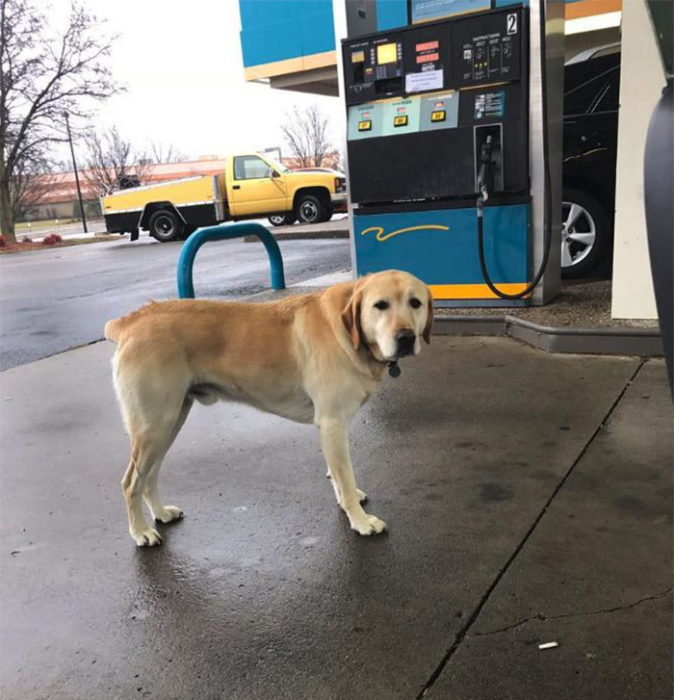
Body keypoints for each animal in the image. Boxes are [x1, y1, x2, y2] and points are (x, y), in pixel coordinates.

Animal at [105, 268, 430, 548]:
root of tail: (129, 322)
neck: (348, 331)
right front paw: (360, 521)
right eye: (380, 305)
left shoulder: (330, 427)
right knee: (131, 482)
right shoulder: (333, 423)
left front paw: (345, 503)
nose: (406, 338)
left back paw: (160, 514)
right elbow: (345, 477)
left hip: (169, 423)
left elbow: (338, 477)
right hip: (155, 426)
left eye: (415, 303)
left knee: (149, 476)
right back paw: (141, 531)